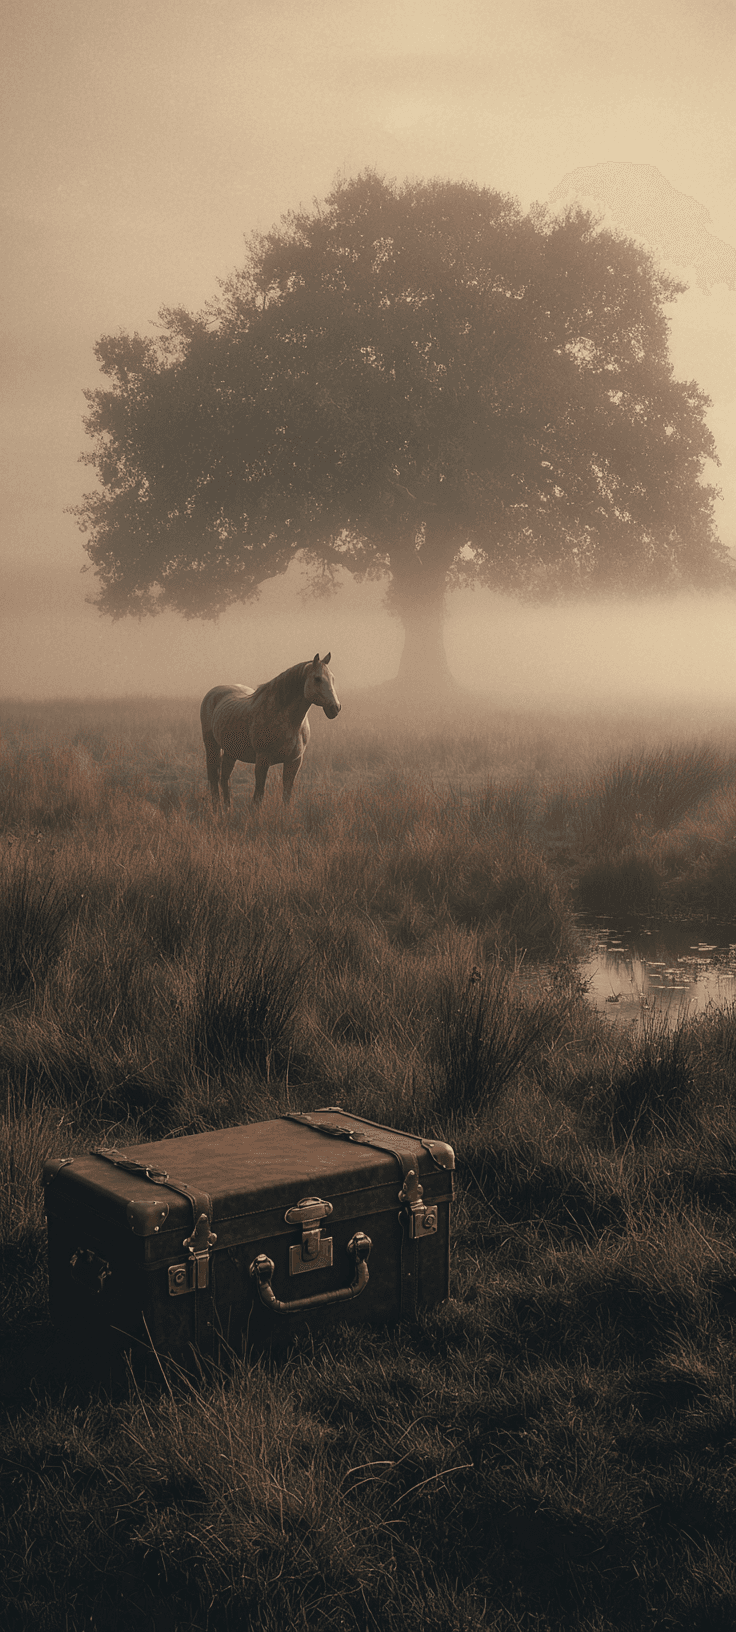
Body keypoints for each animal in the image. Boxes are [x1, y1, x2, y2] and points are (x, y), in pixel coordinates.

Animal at [200, 653, 341, 810]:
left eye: (332, 678)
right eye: (317, 678)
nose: (335, 708)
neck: (290, 722)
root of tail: (213, 693)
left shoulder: (294, 760)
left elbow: (287, 794)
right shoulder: (262, 760)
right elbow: (259, 795)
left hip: (231, 751)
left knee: (224, 777)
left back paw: (227, 808)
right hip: (211, 745)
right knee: (213, 776)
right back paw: (217, 808)